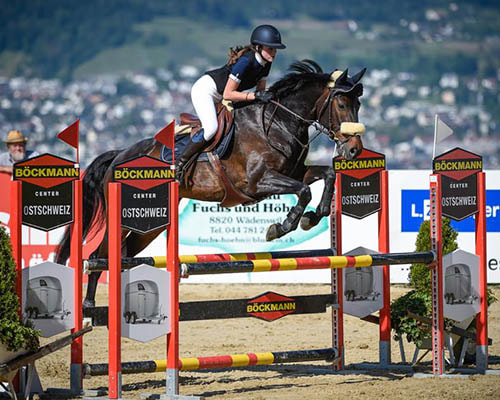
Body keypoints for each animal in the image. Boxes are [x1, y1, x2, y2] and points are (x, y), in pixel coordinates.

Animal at [56, 59, 368, 306]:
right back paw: (89, 304)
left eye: (359, 104)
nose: (354, 150)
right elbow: (303, 192)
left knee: (124, 256)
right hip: (123, 218)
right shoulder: (256, 184)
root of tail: (119, 154)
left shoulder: (294, 172)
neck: (278, 123)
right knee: (100, 254)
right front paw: (281, 227)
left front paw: (313, 217)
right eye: (342, 104)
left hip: (150, 225)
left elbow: (326, 175)